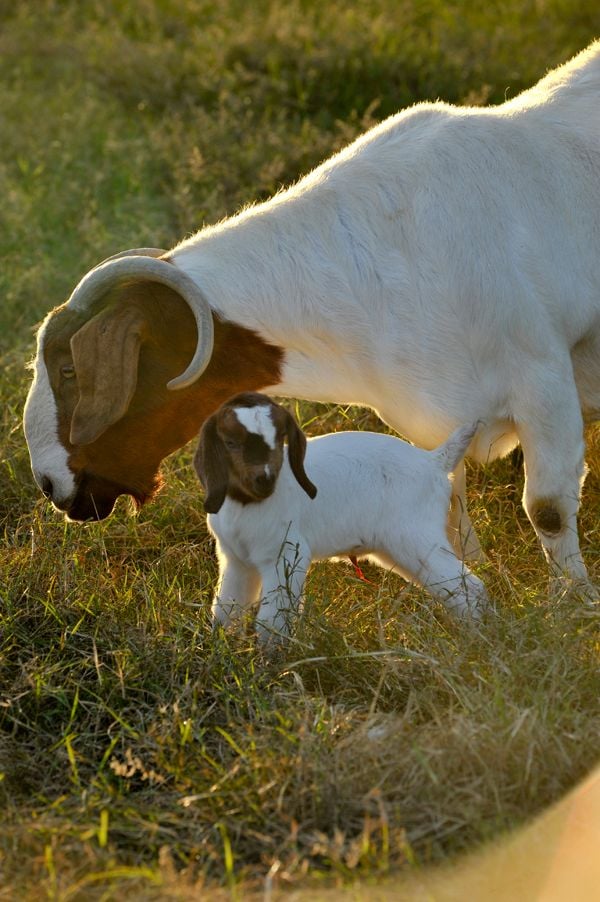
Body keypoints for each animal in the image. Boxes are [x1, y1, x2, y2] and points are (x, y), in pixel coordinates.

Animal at [23, 43, 600, 595]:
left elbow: (547, 507)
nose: (51, 485)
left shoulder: (543, 378)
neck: (387, 260)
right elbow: (450, 511)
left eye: (71, 370)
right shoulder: (433, 419)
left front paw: (571, 604)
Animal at [194, 393, 488, 641]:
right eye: (230, 443)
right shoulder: (236, 561)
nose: (265, 481)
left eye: (279, 440)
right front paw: (222, 646)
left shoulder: (286, 555)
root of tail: (434, 461)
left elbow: (273, 620)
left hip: (416, 538)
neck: (246, 504)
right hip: (397, 549)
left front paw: (273, 663)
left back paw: (476, 639)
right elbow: (226, 609)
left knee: (470, 587)